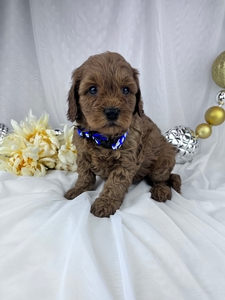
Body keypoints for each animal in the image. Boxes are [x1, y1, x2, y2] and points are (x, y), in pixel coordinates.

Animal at [63, 51, 181, 216]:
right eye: (92, 89)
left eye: (125, 90)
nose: (112, 112)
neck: (103, 137)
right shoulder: (82, 154)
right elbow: (85, 174)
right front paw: (79, 189)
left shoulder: (127, 160)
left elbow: (115, 183)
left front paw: (105, 203)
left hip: (165, 158)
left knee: (163, 178)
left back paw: (161, 190)